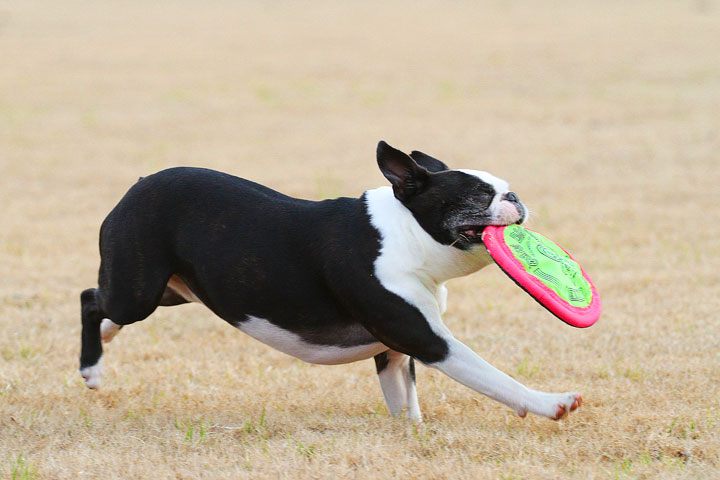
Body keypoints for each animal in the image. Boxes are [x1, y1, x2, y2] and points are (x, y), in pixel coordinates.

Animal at [79, 142, 584, 420]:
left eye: (504, 187)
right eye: (479, 196)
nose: (514, 197)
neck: (406, 235)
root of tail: (139, 183)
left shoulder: (394, 350)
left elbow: (405, 401)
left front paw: (412, 434)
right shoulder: (427, 340)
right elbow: (495, 378)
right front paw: (552, 403)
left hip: (174, 287)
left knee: (107, 310)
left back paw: (103, 346)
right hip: (138, 288)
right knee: (91, 299)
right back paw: (91, 368)